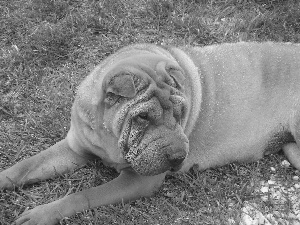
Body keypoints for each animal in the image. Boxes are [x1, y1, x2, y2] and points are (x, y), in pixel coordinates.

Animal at [0, 41, 300, 223]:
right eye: (142, 116)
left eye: (181, 112)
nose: (179, 157)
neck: (109, 137)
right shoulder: (75, 148)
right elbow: (26, 165)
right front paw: (6, 177)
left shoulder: (138, 181)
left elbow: (84, 195)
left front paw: (42, 214)